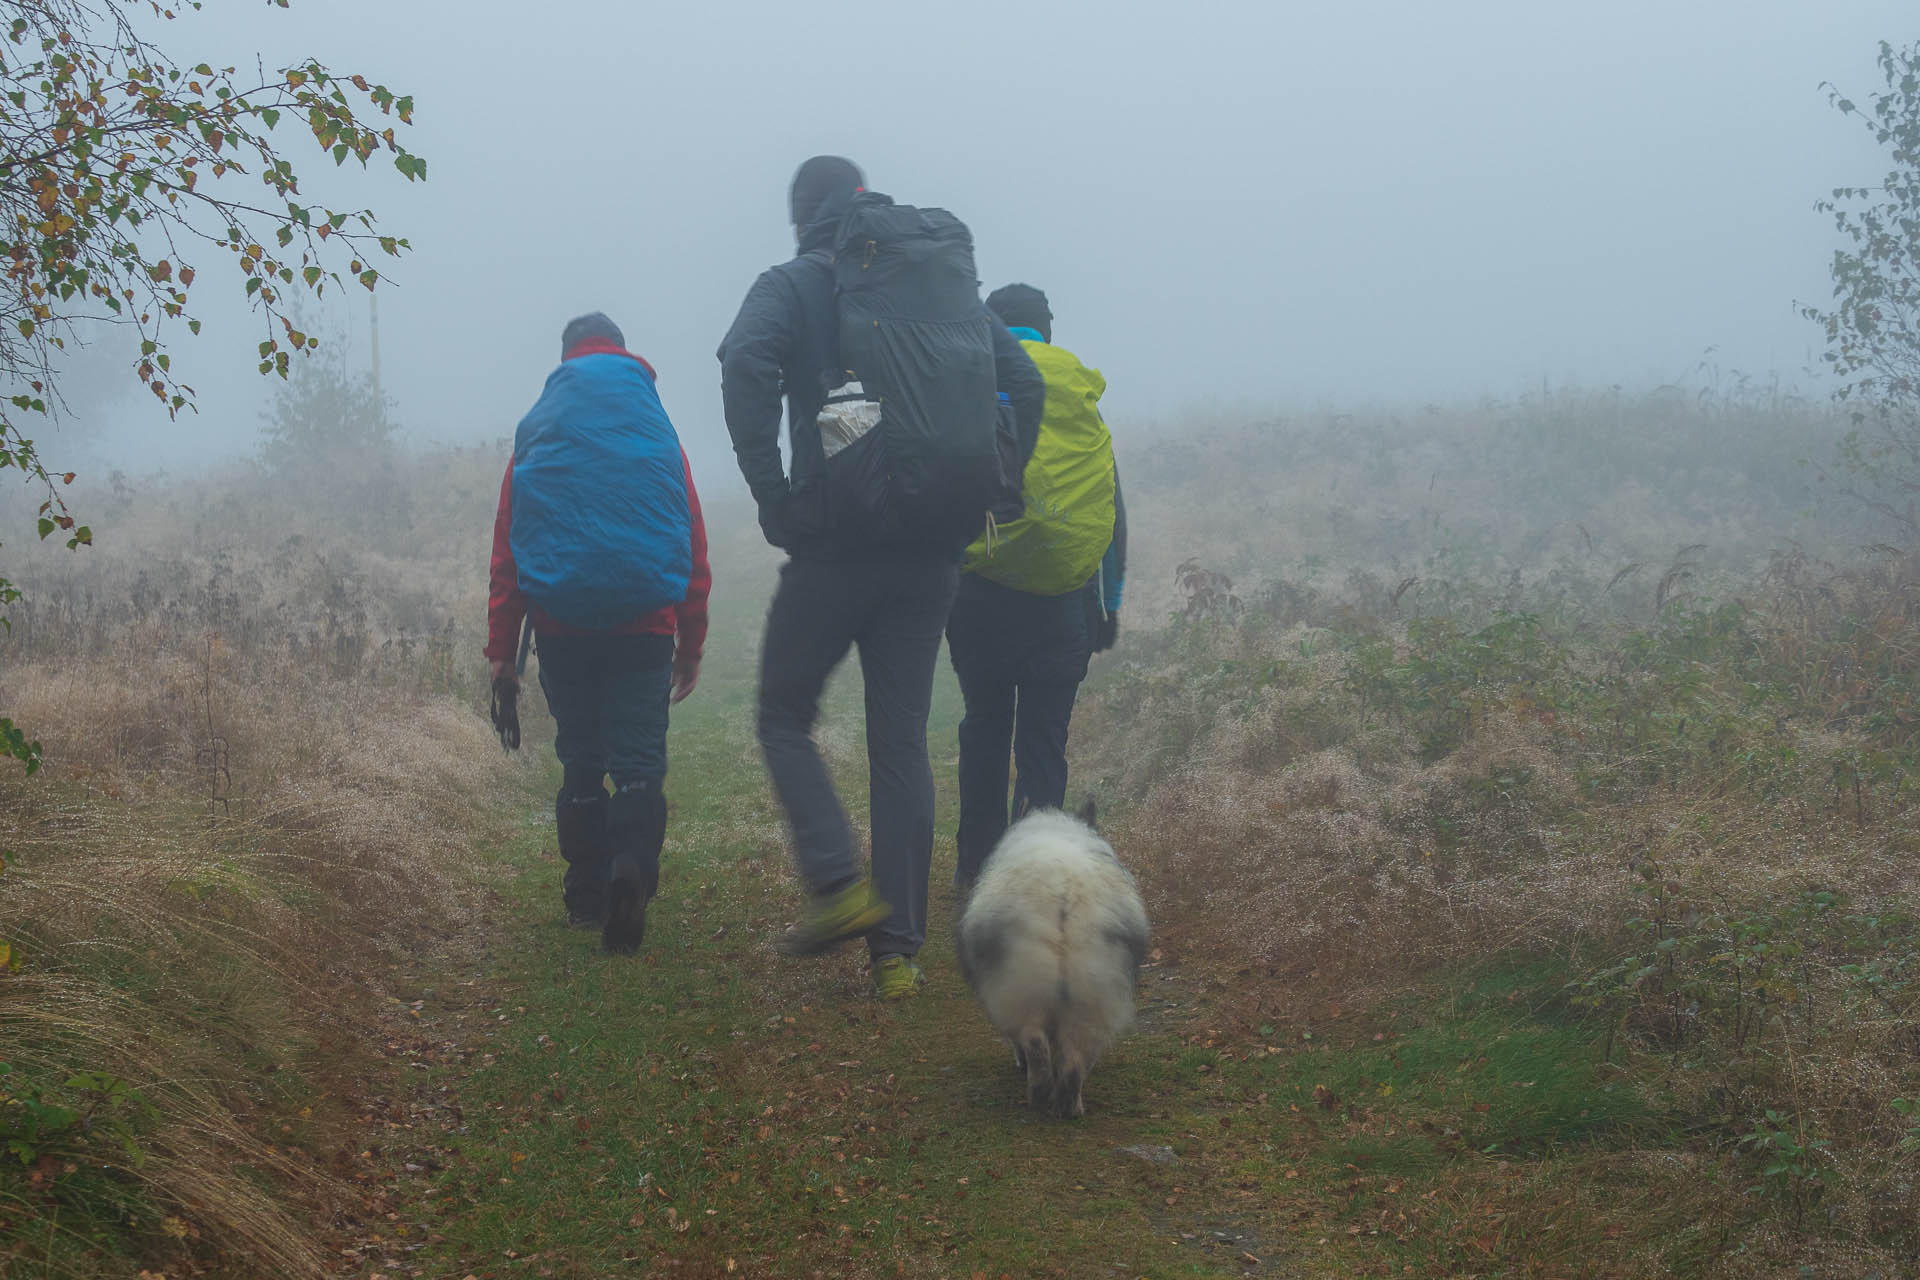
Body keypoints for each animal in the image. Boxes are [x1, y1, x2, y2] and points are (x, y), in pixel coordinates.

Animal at [952, 802, 1144, 1120]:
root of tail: (1063, 890)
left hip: (1022, 986)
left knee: (1034, 1044)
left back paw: (1040, 1096)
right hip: (1094, 993)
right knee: (1075, 1059)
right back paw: (1069, 1107)